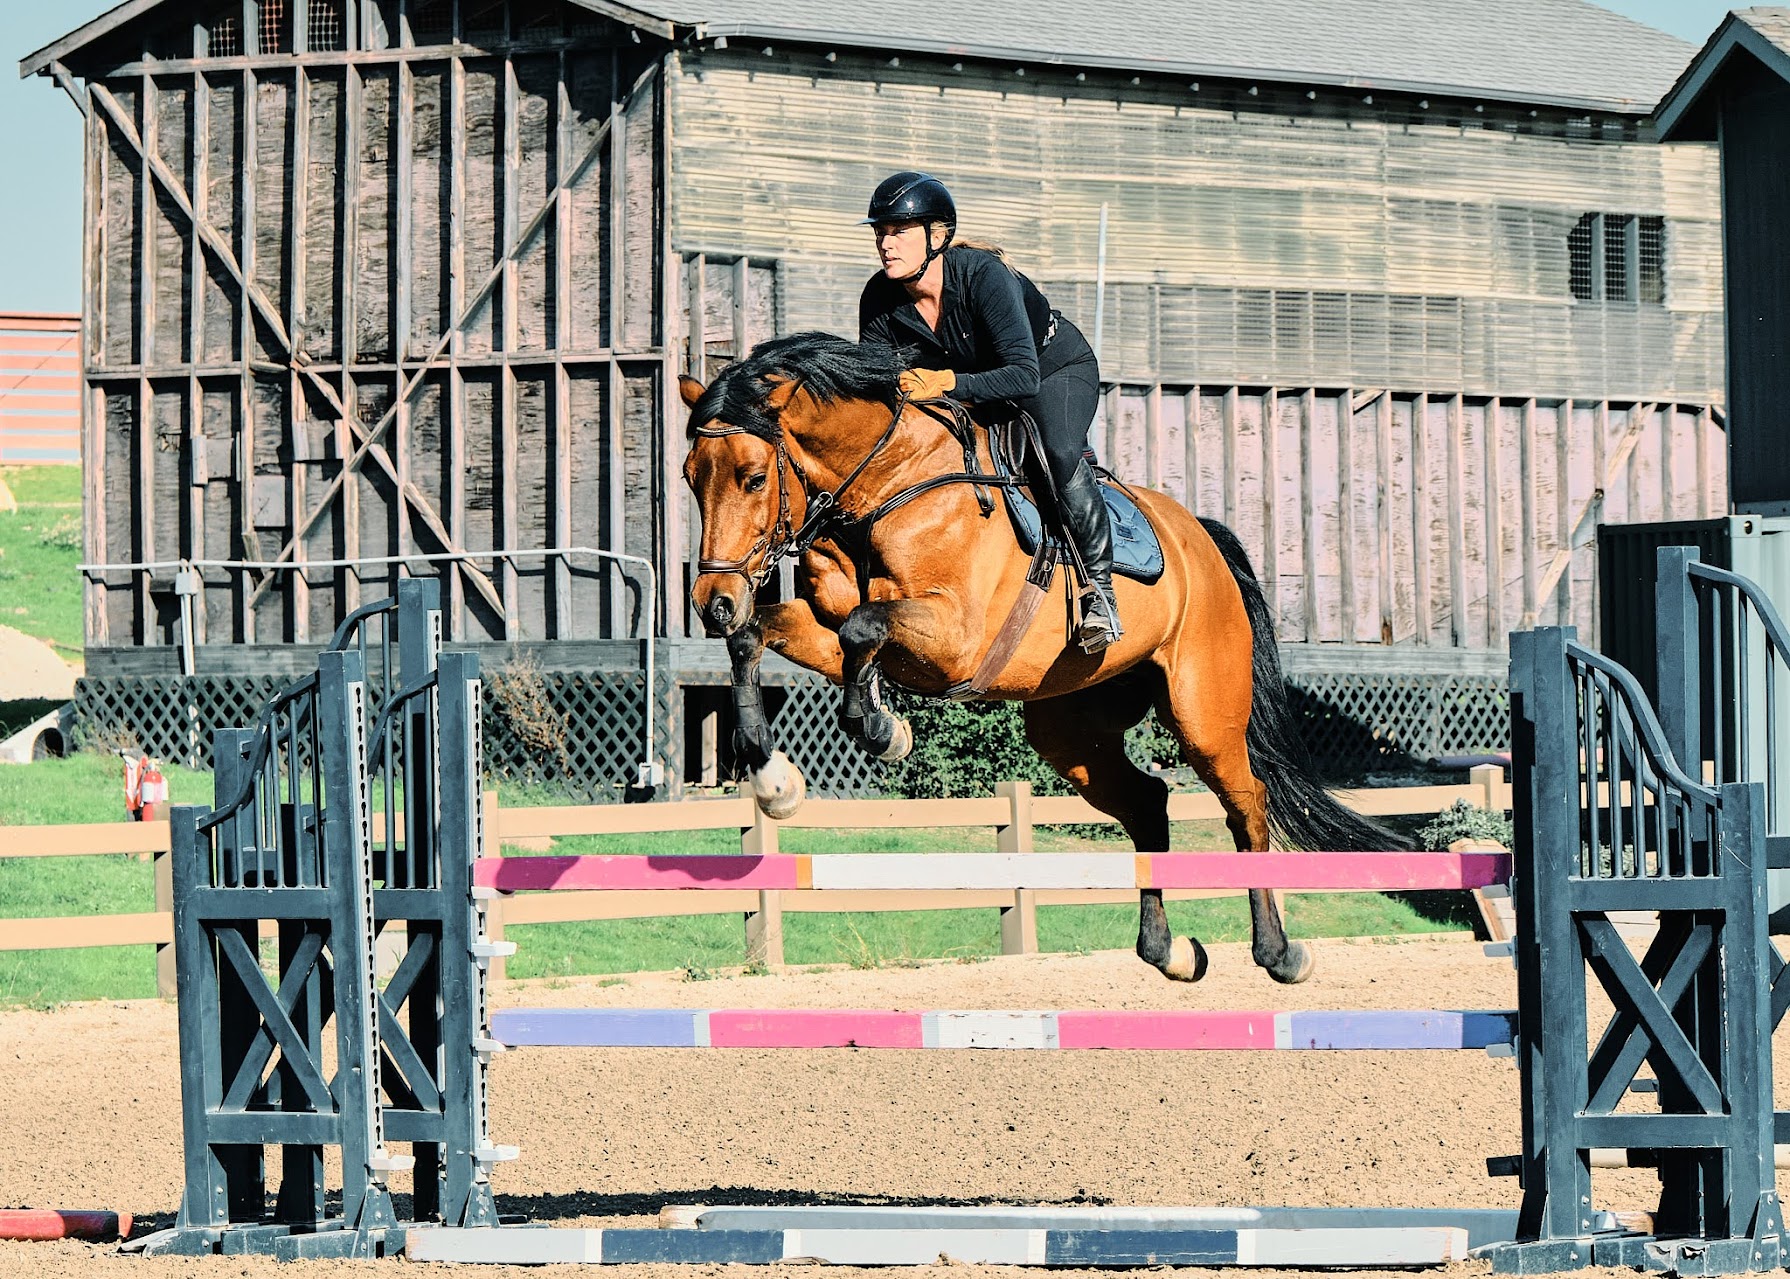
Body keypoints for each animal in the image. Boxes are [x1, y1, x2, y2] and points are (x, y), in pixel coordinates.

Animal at [679, 331, 1401, 984]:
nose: (713, 603)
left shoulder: (954, 640)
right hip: (1070, 727)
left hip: (1203, 712)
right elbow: (767, 637)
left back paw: (1279, 953)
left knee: (1246, 801)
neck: (888, 486)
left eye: (752, 478)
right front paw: (773, 777)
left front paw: (880, 730)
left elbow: (862, 629)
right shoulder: (834, 627)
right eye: (690, 478)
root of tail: (1204, 538)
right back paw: (1167, 951)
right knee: (1147, 801)